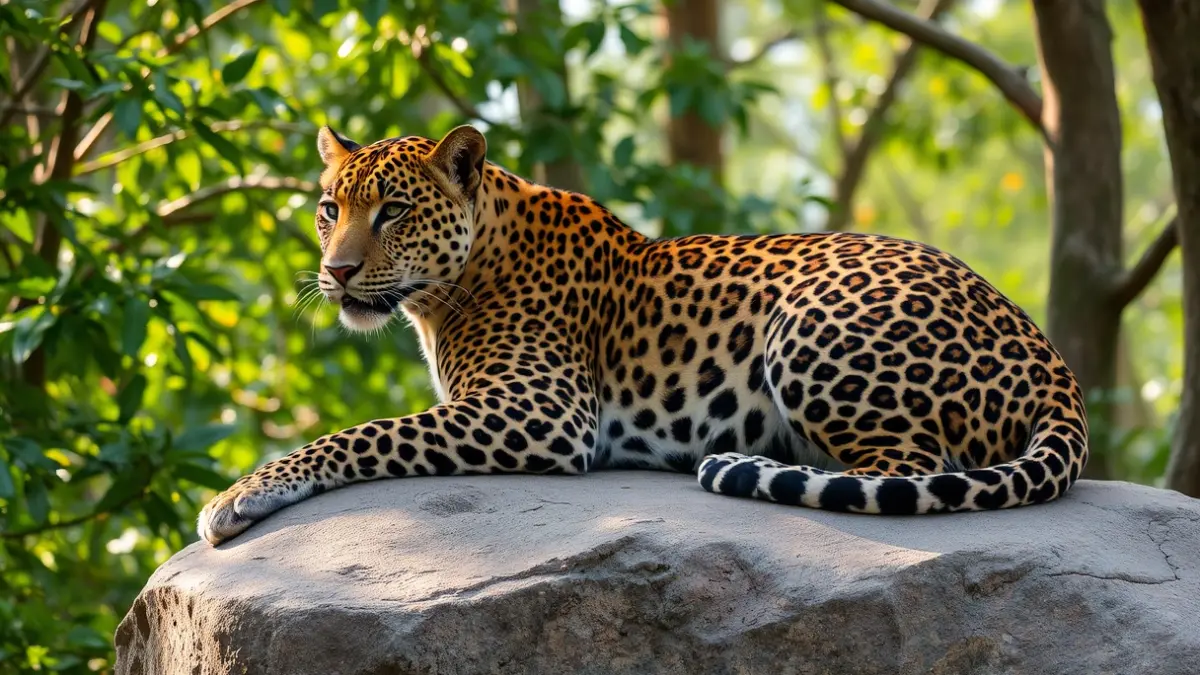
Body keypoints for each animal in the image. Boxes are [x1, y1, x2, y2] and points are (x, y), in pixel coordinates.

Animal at [197, 125, 1089, 546]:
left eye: (393, 211)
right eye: (329, 209)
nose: (337, 271)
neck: (450, 286)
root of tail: (1051, 358)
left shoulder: (537, 411)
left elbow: (362, 433)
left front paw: (240, 494)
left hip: (810, 318)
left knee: (911, 468)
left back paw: (757, 465)